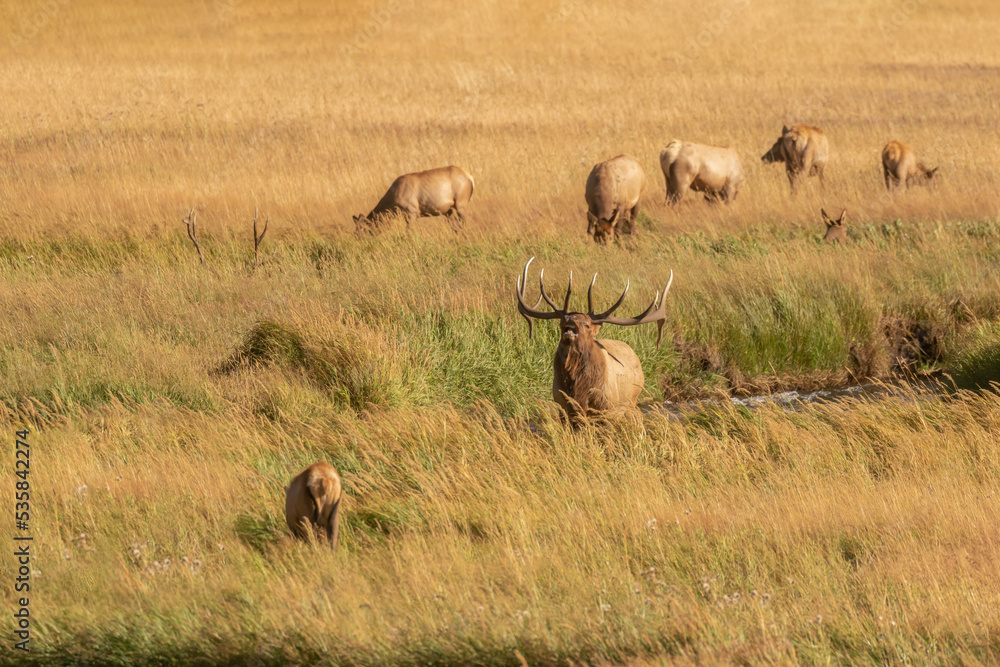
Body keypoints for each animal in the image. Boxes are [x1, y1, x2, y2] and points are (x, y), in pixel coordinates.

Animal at [515, 257, 672, 425]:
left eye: (587, 324)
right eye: (562, 320)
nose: (571, 319)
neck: (578, 389)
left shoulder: (607, 410)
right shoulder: (563, 407)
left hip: (632, 400)